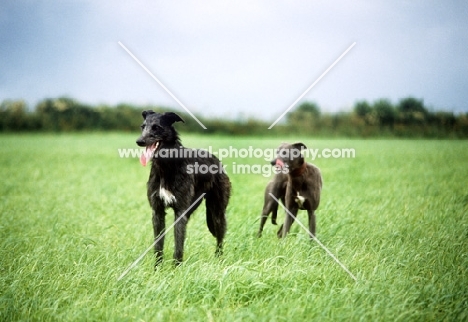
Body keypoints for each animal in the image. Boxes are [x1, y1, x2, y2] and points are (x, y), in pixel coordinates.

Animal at [135, 111, 230, 266]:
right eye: (143, 127)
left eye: (156, 127)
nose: (139, 141)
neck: (166, 167)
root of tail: (217, 160)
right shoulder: (157, 211)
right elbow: (158, 245)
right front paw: (157, 268)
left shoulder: (180, 212)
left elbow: (178, 245)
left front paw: (175, 268)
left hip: (217, 212)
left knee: (220, 239)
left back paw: (219, 260)